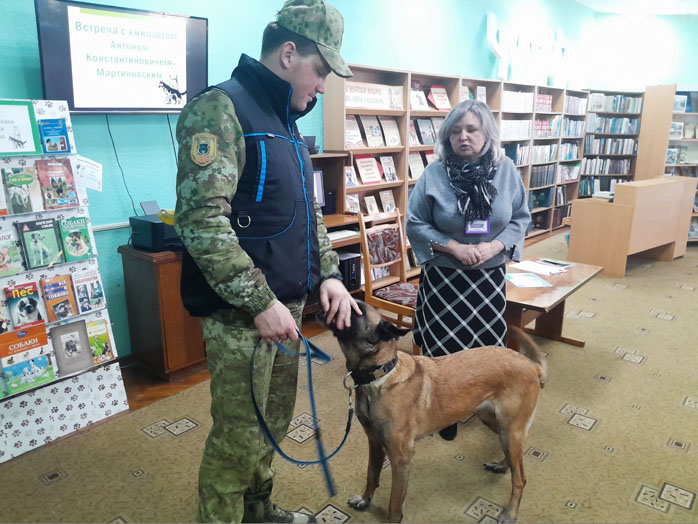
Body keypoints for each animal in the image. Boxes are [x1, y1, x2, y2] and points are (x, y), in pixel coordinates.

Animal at [324, 301, 547, 523]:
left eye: (355, 309)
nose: (322, 299)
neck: (379, 374)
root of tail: (531, 365)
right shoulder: (375, 443)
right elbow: (371, 475)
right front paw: (364, 499)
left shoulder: (401, 457)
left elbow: (394, 502)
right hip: (498, 425)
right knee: (514, 458)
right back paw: (502, 465)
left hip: (510, 430)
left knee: (520, 479)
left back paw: (510, 513)